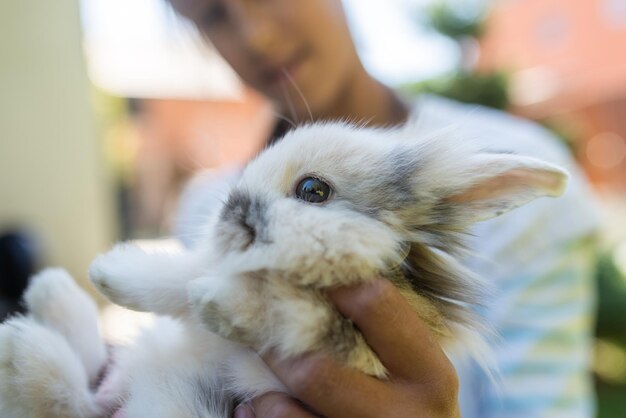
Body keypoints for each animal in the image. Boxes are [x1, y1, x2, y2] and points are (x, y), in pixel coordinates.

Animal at [0, 119, 564, 416]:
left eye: (313, 191)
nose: (230, 207)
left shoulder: (333, 361)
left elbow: (298, 318)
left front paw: (223, 302)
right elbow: (182, 282)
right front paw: (111, 272)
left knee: (75, 400)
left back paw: (24, 340)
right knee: (79, 395)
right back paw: (46, 303)